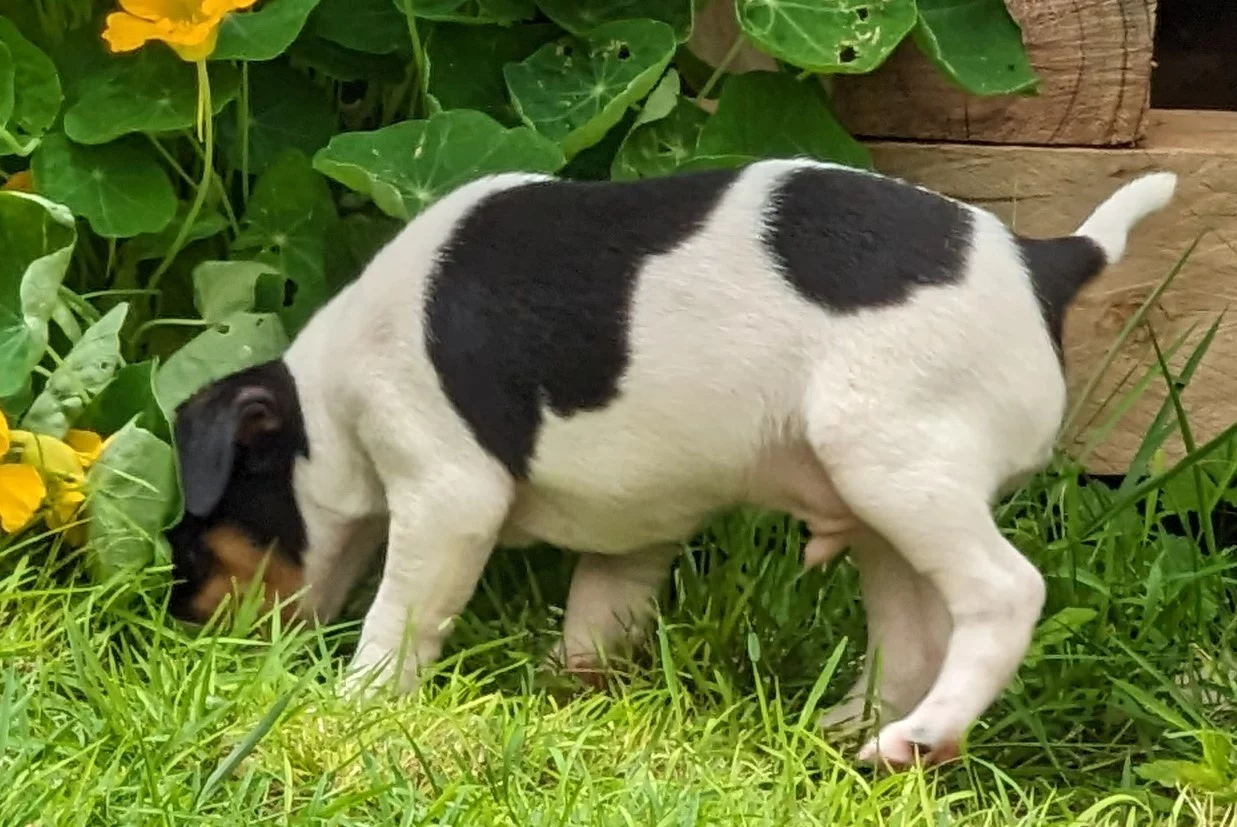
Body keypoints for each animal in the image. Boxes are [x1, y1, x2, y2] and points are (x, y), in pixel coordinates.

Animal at [166, 158, 1176, 767]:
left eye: (193, 543)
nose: (180, 627)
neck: (328, 399)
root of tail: (1046, 263)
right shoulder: (633, 526)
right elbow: (594, 620)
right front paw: (565, 695)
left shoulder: (447, 499)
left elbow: (398, 618)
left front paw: (355, 702)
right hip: (887, 508)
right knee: (915, 633)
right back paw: (857, 727)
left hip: (897, 467)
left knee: (1004, 593)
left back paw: (921, 735)